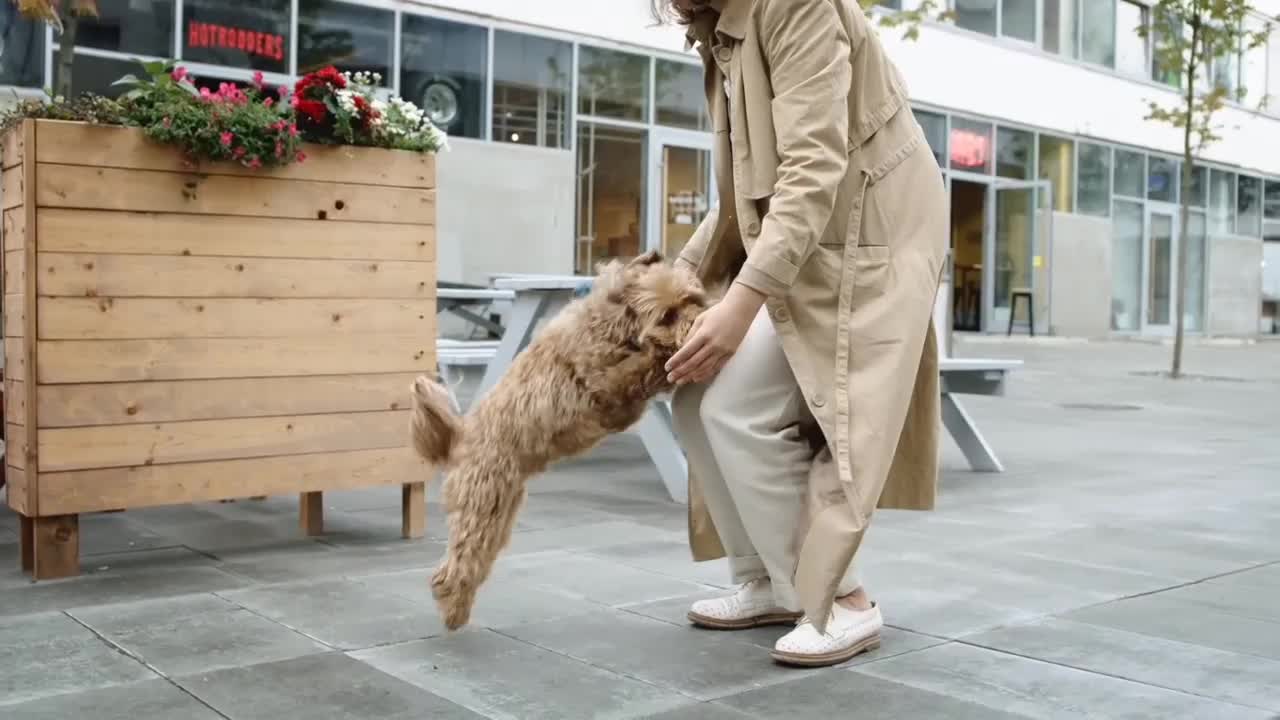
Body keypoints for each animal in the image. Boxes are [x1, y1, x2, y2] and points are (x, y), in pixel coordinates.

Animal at [409, 249, 711, 625]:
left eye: (692, 299)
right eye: (668, 315)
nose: (701, 319)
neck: (614, 327)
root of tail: (459, 436)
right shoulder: (607, 386)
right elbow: (643, 366)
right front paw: (663, 358)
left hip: (499, 511)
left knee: (473, 560)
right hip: (482, 505)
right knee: (455, 567)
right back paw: (453, 610)